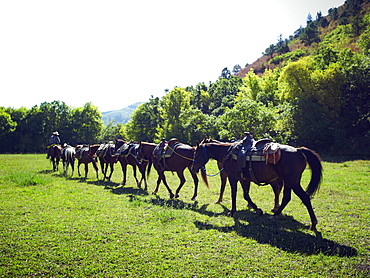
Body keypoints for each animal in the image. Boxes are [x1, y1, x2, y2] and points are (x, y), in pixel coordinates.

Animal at [192, 137, 322, 230]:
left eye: (196, 153)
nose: (193, 168)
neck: (227, 152)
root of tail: (299, 150)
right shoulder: (244, 179)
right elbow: (246, 195)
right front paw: (257, 210)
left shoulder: (233, 178)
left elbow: (234, 194)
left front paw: (232, 211)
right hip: (288, 182)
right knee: (286, 197)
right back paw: (275, 214)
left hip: (292, 182)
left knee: (304, 197)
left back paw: (313, 223)